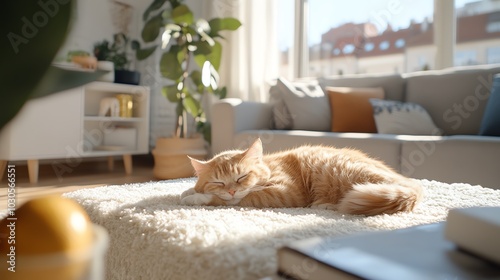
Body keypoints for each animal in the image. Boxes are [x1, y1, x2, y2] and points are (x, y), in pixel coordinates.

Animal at [180, 139, 422, 215]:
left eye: (241, 177)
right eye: (218, 182)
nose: (231, 190)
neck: (270, 166)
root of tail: (412, 187)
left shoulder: (284, 192)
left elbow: (238, 199)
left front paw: (196, 198)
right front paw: (188, 190)